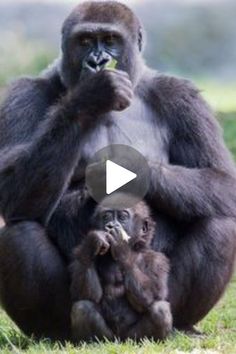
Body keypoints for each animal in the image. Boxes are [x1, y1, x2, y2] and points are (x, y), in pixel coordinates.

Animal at [69, 195, 171, 342]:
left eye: (122, 217)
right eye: (106, 217)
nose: (111, 225)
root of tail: (119, 341)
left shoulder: (158, 260)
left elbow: (154, 294)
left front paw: (121, 246)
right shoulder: (78, 254)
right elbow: (85, 294)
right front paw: (94, 240)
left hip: (131, 338)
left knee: (160, 310)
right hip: (108, 338)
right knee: (82, 308)